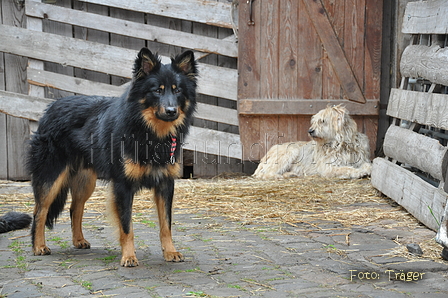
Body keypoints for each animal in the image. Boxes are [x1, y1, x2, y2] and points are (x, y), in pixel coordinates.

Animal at [27, 47, 197, 266]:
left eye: (177, 90)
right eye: (157, 90)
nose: (171, 111)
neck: (149, 132)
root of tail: (50, 108)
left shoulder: (165, 184)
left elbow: (166, 225)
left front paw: (170, 252)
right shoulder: (123, 185)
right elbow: (127, 226)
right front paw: (129, 256)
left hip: (85, 181)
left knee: (75, 208)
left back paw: (79, 240)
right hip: (52, 177)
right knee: (39, 211)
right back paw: (39, 246)